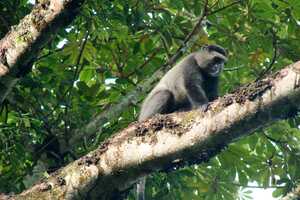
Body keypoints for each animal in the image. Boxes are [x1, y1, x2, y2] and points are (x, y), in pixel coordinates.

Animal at [137, 44, 229, 200]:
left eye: (221, 62)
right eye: (215, 60)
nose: (218, 67)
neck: (202, 67)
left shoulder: (213, 78)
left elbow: (212, 94)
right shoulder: (190, 65)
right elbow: (191, 85)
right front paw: (202, 105)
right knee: (165, 94)